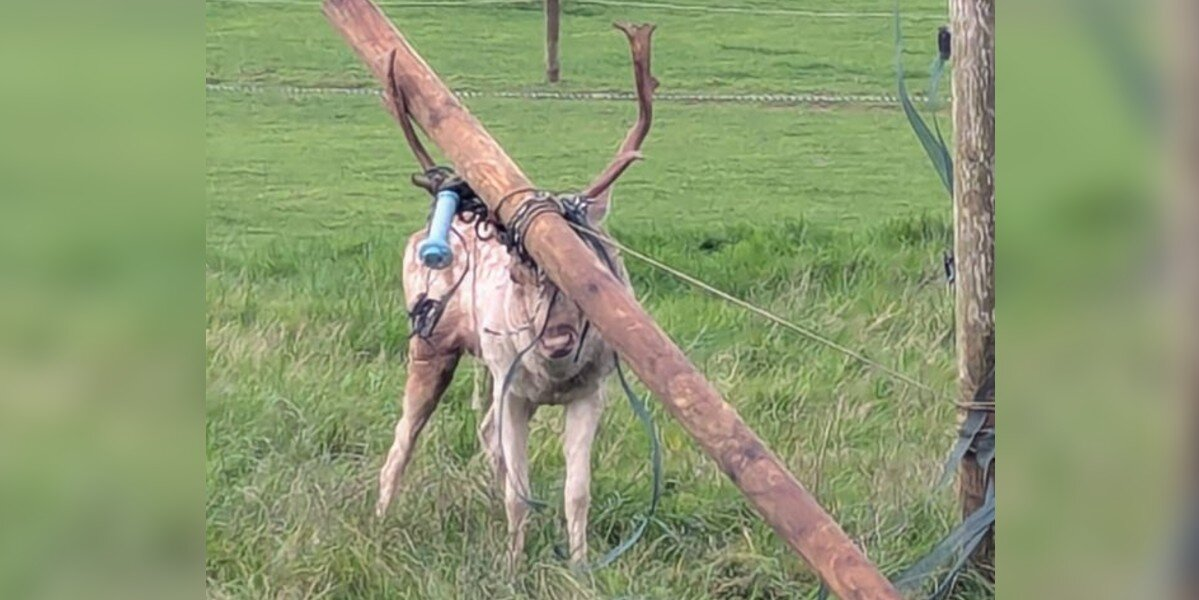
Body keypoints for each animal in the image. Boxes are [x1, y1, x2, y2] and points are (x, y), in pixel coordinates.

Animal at [373, 23, 657, 570]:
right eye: (519, 270)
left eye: (585, 266)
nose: (557, 340)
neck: (553, 378)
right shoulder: (515, 391)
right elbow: (519, 492)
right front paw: (511, 563)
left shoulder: (593, 392)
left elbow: (576, 490)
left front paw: (581, 564)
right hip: (431, 343)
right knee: (403, 439)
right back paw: (379, 518)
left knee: (485, 433)